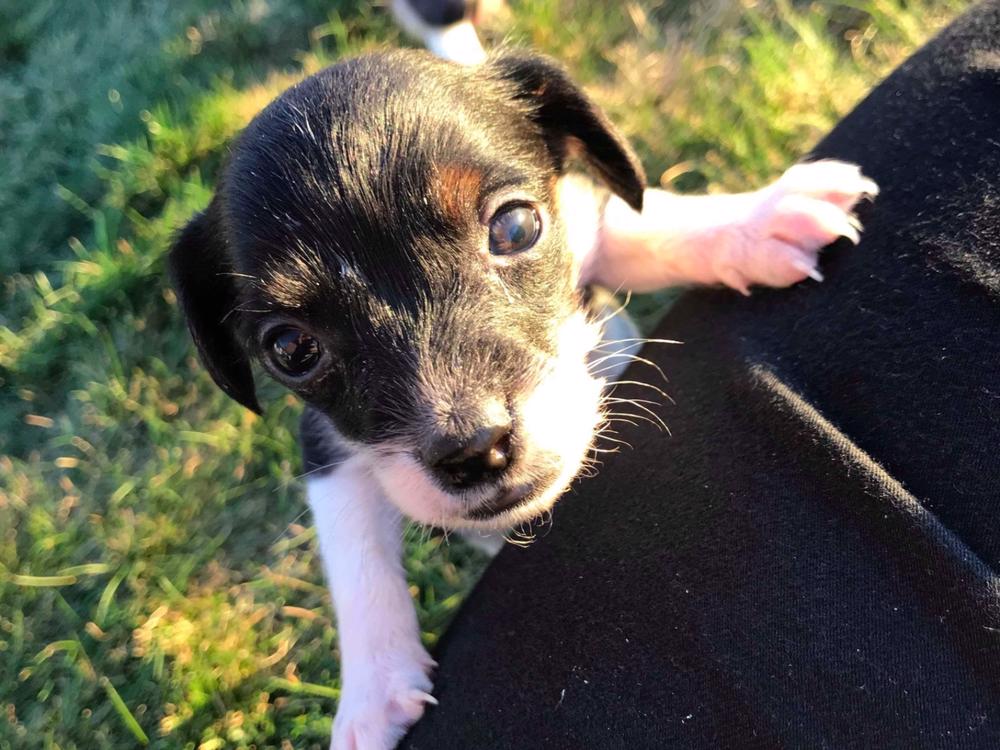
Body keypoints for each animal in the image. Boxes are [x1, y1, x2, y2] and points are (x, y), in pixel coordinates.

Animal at [170, 50, 876, 748]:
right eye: (292, 348)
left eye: (515, 226)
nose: (474, 450)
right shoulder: (324, 441)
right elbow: (354, 550)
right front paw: (370, 699)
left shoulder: (585, 223)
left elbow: (640, 226)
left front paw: (758, 220)